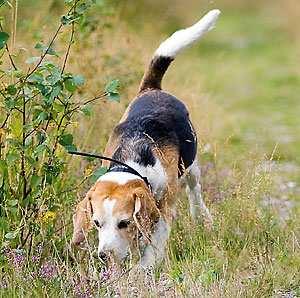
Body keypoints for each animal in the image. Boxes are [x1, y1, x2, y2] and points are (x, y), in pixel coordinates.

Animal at [71, 9, 219, 268]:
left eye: (124, 223)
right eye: (97, 223)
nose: (104, 256)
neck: (133, 162)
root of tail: (152, 89)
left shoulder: (163, 212)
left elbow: (151, 250)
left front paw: (141, 271)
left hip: (192, 167)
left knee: (195, 191)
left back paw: (202, 218)